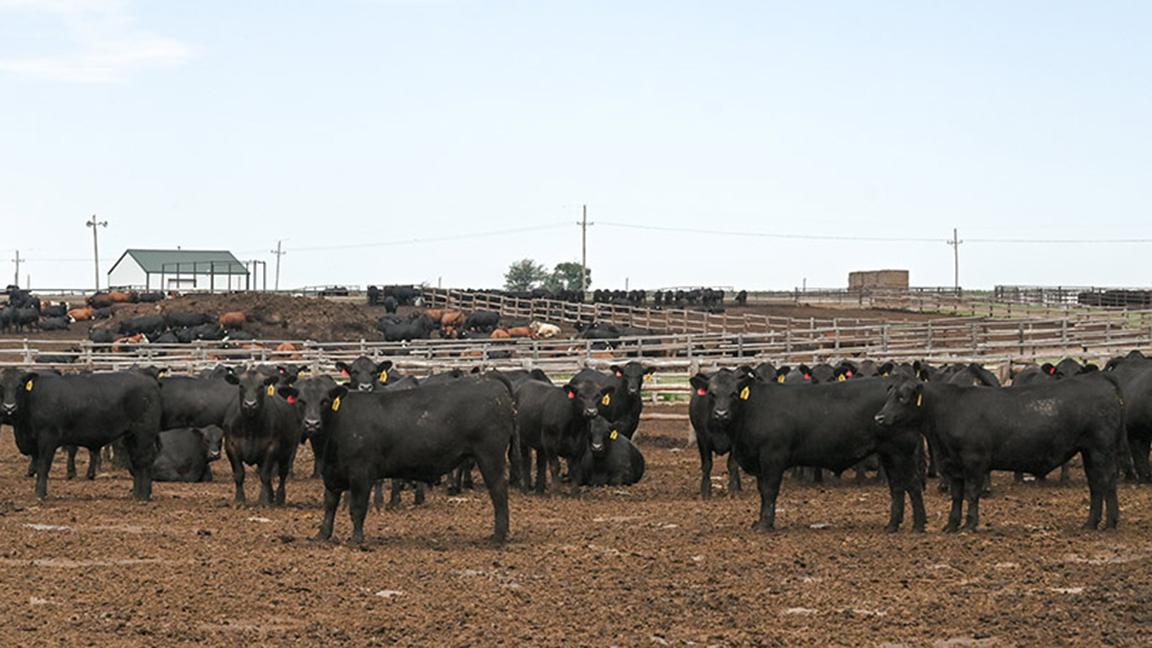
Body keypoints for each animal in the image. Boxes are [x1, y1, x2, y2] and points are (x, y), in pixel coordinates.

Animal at [0, 368, 162, 500]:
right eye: (1, 385)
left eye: (19, 386)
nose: (9, 407)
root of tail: (147, 376)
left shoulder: (48, 439)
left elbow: (43, 466)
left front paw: (40, 494)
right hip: (131, 435)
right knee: (136, 460)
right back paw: (137, 493)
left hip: (144, 433)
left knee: (144, 459)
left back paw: (144, 495)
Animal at [220, 368, 301, 505]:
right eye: (241, 385)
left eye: (261, 386)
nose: (250, 404)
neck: (250, 428)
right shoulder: (231, 446)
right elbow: (239, 473)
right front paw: (239, 499)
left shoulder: (271, 447)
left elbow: (265, 475)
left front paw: (263, 499)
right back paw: (271, 496)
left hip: (287, 451)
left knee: (282, 473)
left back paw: (280, 497)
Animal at [691, 371, 926, 532]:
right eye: (711, 393)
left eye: (733, 394)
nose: (721, 414)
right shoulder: (758, 462)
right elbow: (762, 491)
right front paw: (760, 521)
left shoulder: (773, 457)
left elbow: (769, 491)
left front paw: (765, 525)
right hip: (889, 454)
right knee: (897, 487)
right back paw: (892, 525)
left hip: (902, 452)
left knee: (912, 483)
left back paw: (918, 525)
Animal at [875, 371, 1119, 532]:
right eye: (888, 396)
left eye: (902, 397)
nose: (879, 417)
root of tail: (1099, 378)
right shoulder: (952, 464)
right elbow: (957, 495)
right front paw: (951, 525)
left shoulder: (974, 462)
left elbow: (972, 492)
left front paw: (970, 524)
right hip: (1092, 452)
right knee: (1100, 484)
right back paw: (1100, 522)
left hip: (1100, 450)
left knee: (1103, 482)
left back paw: (1102, 523)